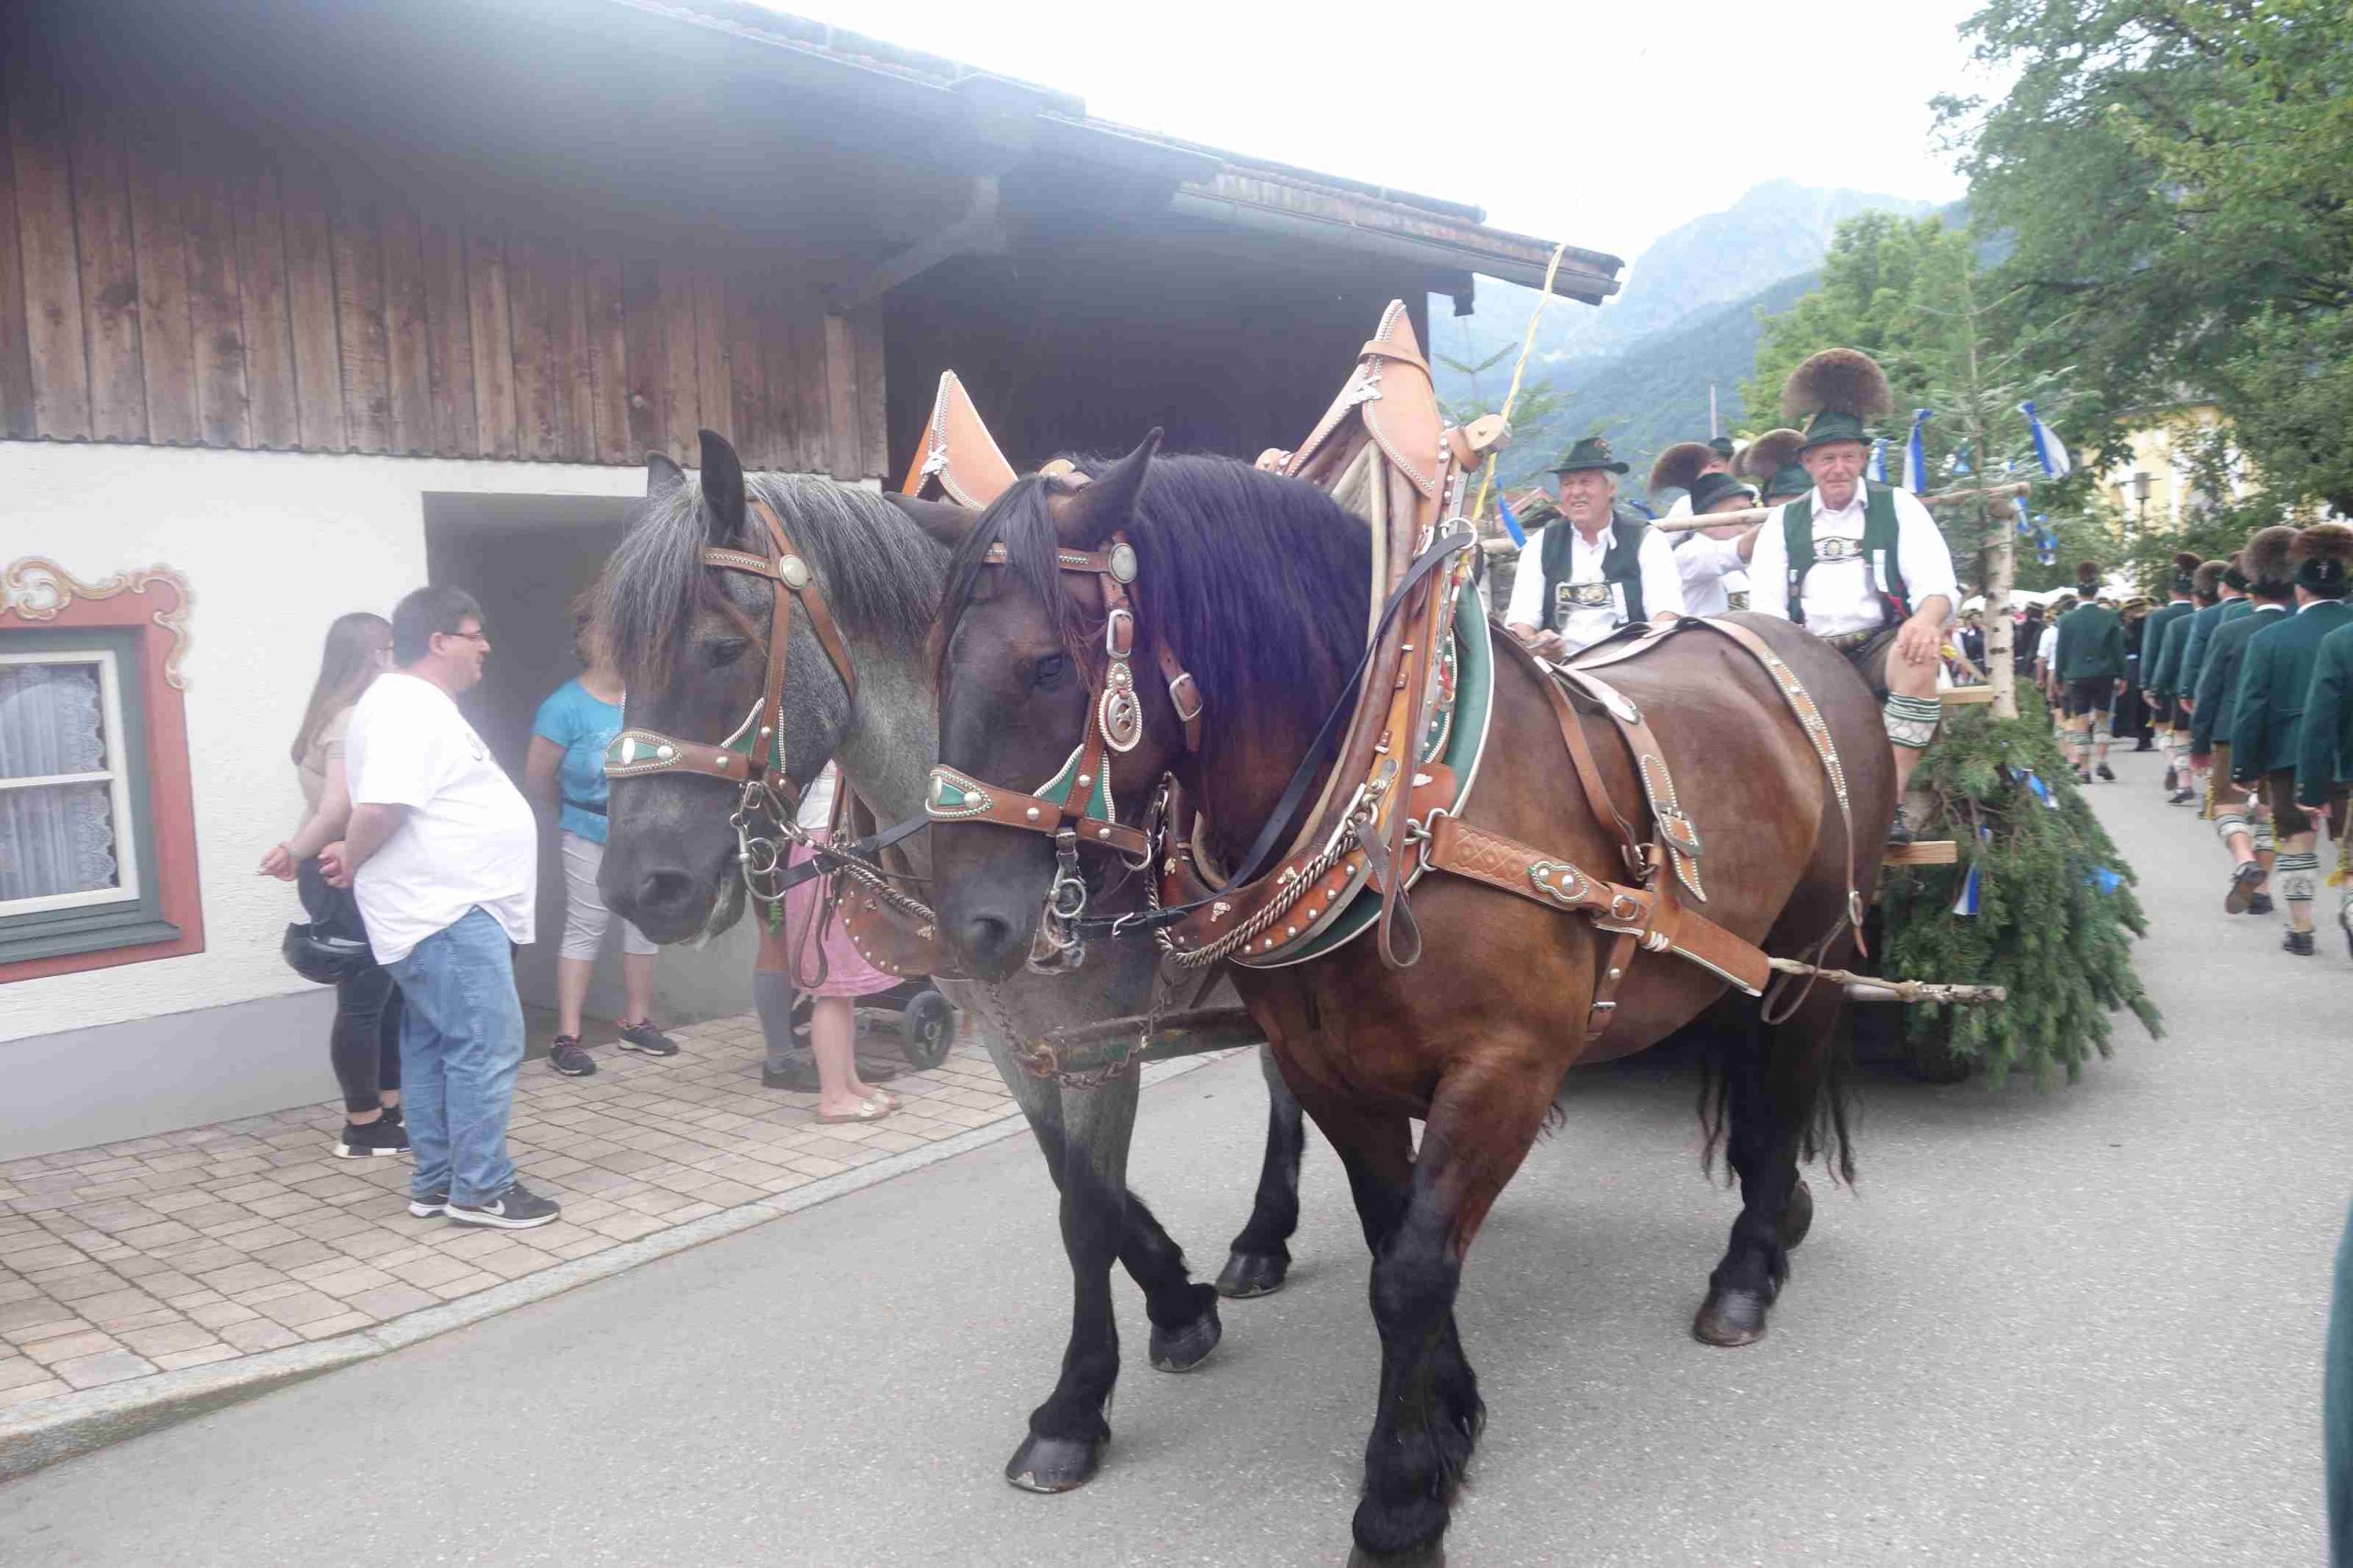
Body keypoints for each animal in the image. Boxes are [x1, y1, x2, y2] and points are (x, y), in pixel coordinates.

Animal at [593, 429, 1312, 1494]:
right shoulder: (1017, 1037)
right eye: (617, 666)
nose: (639, 887)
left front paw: (1074, 1408)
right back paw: (1261, 1243)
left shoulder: (1100, 1039)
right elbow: (1074, 1181)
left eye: (720, 649)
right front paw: (1178, 1304)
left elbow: (1086, 1209)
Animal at [914, 438, 1888, 1567]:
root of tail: (1785, 638)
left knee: (1785, 1086)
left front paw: (1399, 1500)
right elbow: (1397, 1241)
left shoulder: (1507, 1068)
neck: (1400, 797)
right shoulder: (1330, 1073)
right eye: (935, 664)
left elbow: (1413, 1271)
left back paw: (1747, 1268)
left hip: (1812, 953)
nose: (966, 933)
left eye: (1044, 665)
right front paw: (1449, 1414)